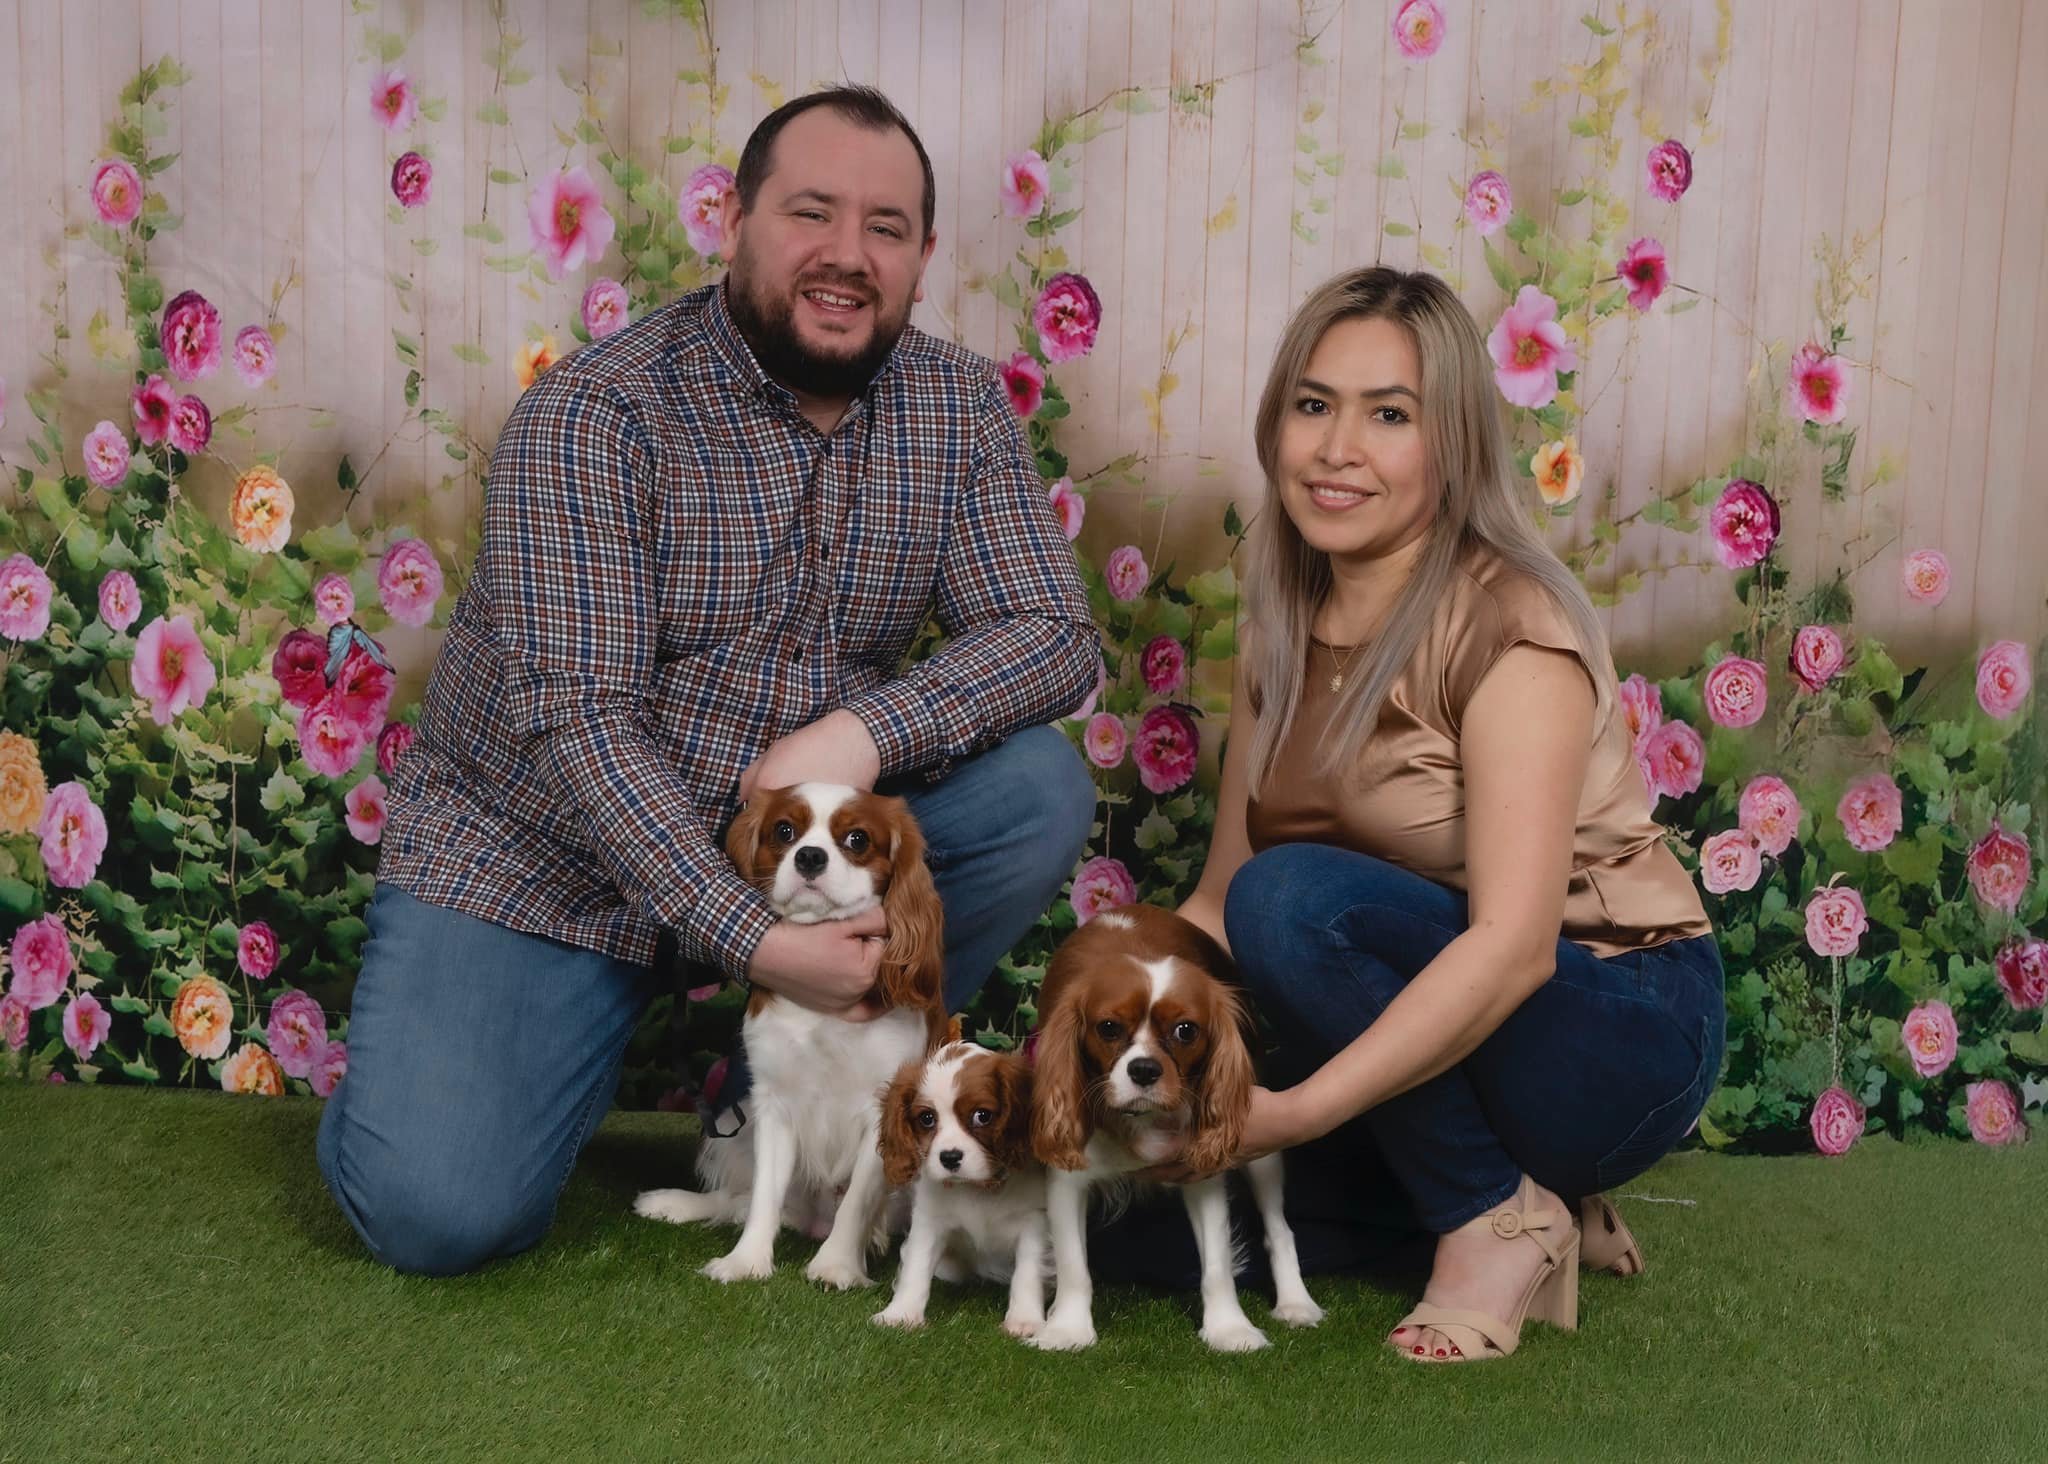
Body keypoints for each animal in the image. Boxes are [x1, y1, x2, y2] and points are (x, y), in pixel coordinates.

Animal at [633, 783, 947, 1288]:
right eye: (784, 831)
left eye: (857, 839)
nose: (810, 856)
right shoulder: (773, 1106)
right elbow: (765, 1194)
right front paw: (746, 1261)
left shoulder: (882, 1113)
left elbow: (857, 1201)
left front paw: (837, 1266)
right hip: (733, 1122)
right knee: (737, 1199)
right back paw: (676, 1204)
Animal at [1027, 903, 1323, 1351]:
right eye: (1108, 1028)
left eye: (1186, 1031)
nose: (1145, 1069)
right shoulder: (1067, 1176)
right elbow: (1074, 1264)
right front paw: (1068, 1329)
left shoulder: (1204, 1173)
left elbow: (1217, 1263)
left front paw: (1229, 1328)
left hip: (1263, 1148)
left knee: (1279, 1228)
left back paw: (1295, 1303)